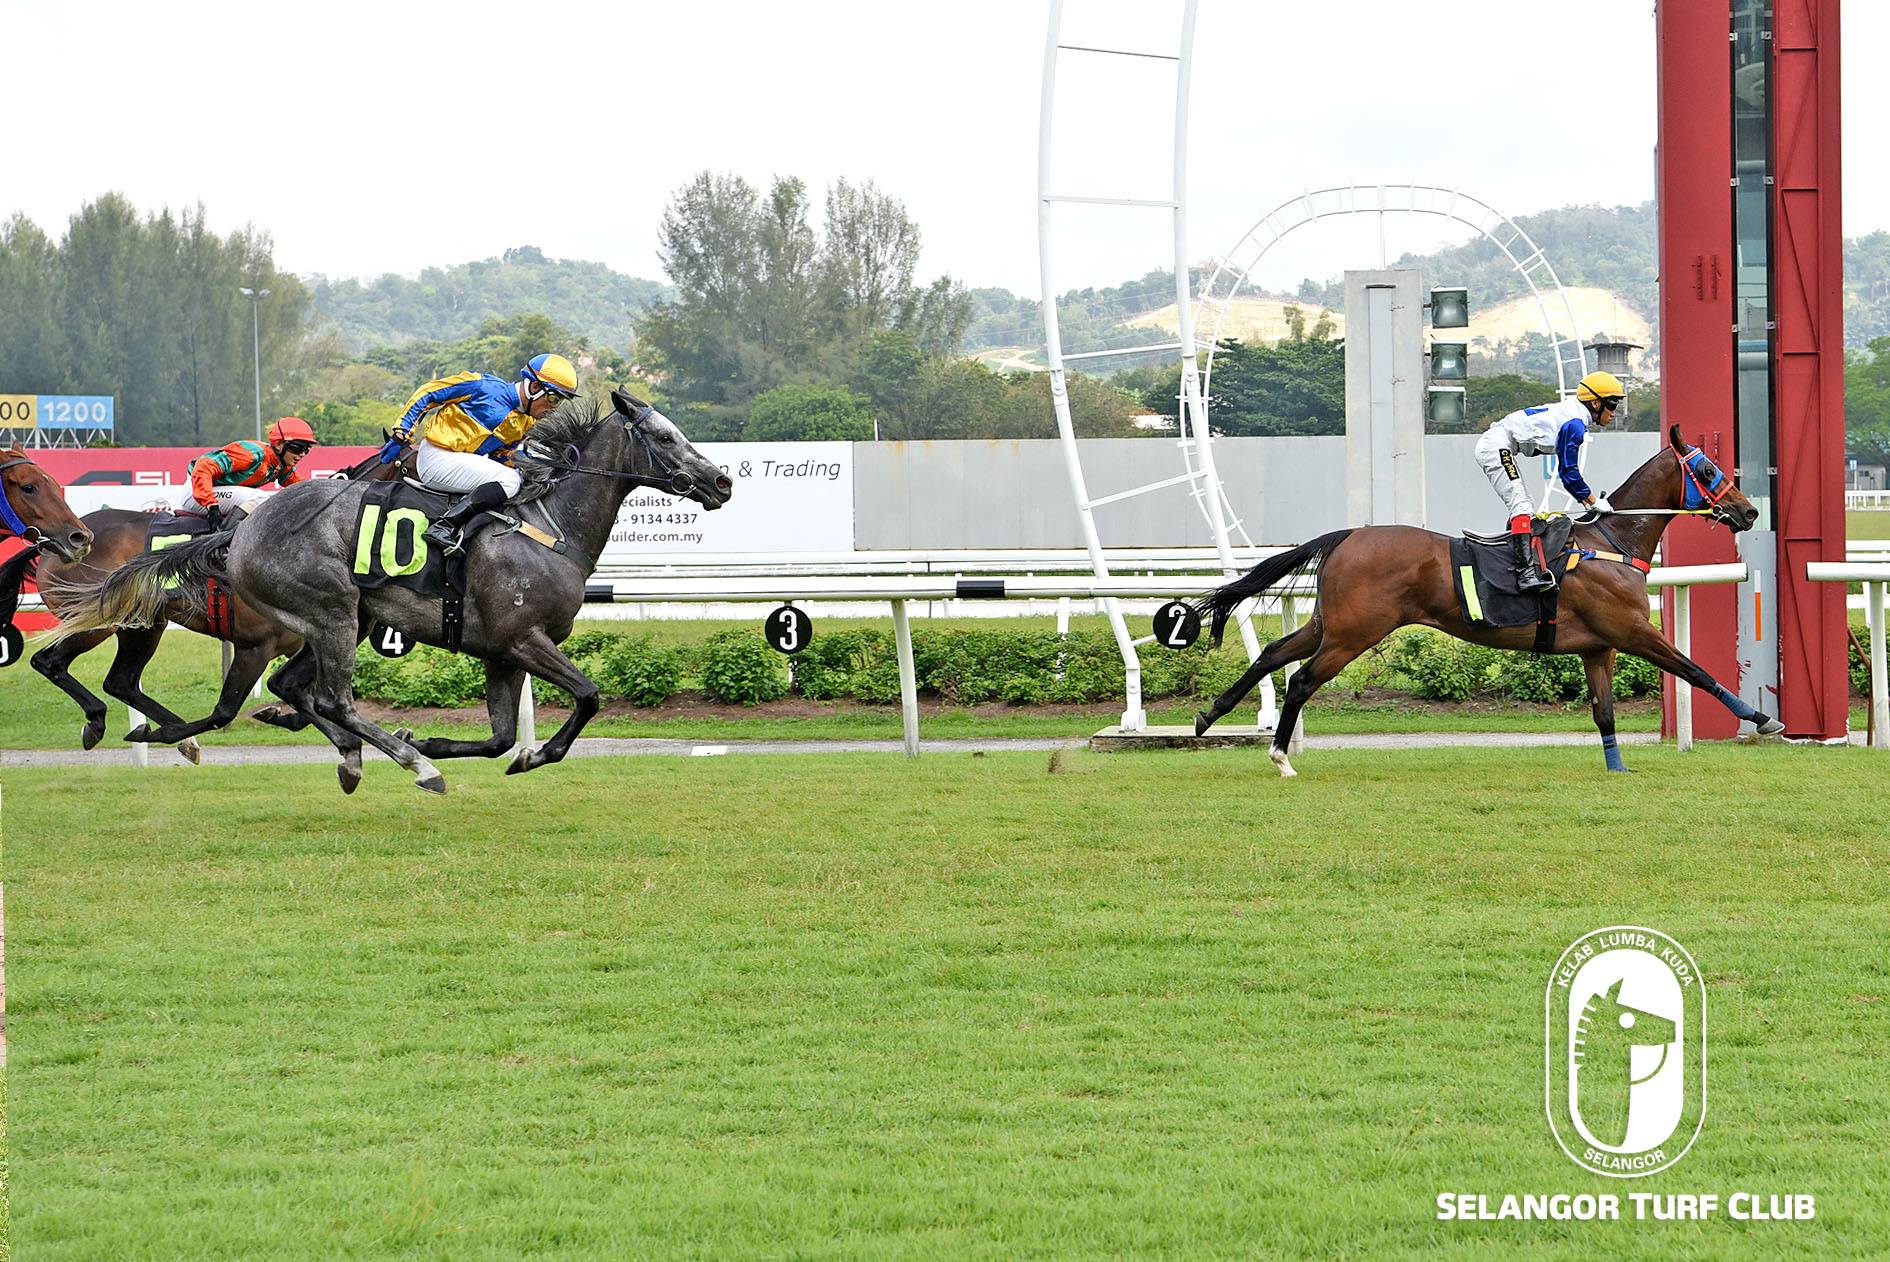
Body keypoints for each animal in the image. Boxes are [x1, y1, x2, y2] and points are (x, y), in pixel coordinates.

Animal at [46, 389, 729, 793]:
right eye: (664, 437)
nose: (721, 480)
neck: (548, 525)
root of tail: (239, 534)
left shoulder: (500, 652)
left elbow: (500, 737)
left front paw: (436, 739)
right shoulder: (522, 638)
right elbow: (587, 696)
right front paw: (503, 755)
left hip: (319, 624)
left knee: (290, 690)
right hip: (330, 614)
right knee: (332, 699)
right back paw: (409, 766)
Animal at [1194, 423, 1784, 774]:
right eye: (1707, 470)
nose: (1750, 511)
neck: (1611, 542)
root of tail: (1347, 535)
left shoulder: (1599, 647)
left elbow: (1604, 713)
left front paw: (1617, 768)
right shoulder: (1632, 631)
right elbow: (1697, 671)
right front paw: (1762, 719)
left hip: (1330, 623)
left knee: (1274, 655)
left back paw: (1208, 716)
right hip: (1355, 633)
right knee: (1300, 679)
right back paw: (1279, 755)